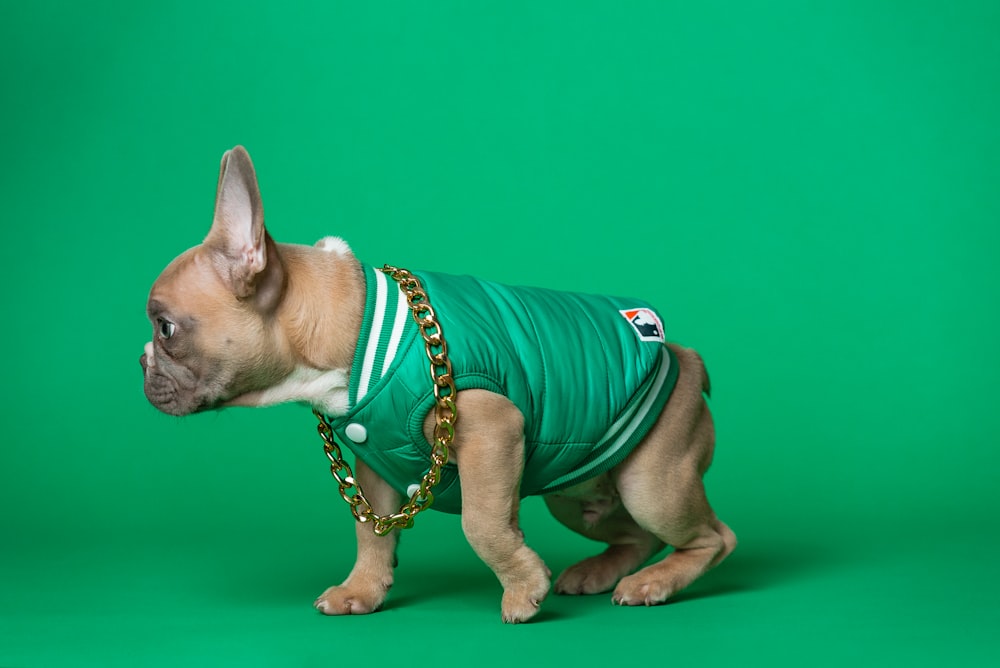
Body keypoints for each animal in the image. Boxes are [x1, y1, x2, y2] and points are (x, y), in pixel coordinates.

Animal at [141, 145, 736, 620]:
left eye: (165, 328)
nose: (141, 361)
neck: (351, 328)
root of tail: (683, 355)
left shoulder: (493, 430)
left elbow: (483, 522)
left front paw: (523, 589)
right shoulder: (374, 462)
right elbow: (369, 531)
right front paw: (362, 590)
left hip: (651, 481)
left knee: (711, 537)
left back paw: (655, 583)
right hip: (573, 491)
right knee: (637, 536)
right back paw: (604, 572)